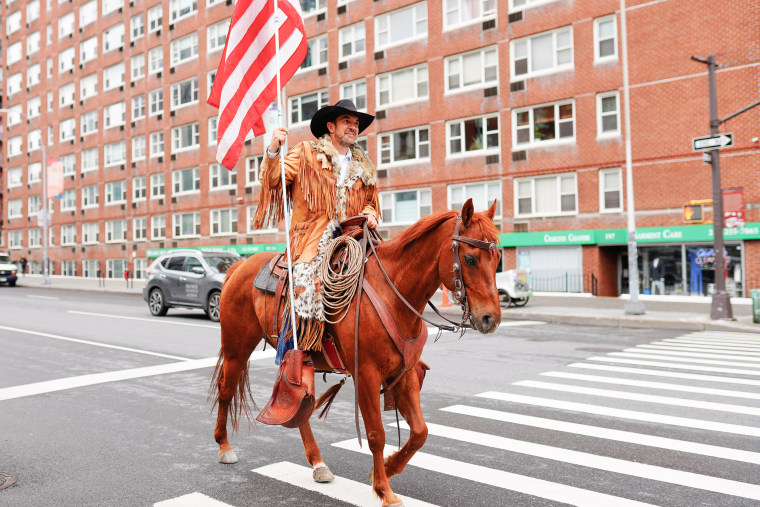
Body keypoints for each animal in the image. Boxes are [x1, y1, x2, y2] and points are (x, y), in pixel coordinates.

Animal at [211, 199, 502, 507]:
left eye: (497, 258)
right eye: (470, 259)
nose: (491, 319)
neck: (393, 292)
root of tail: (240, 264)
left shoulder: (405, 373)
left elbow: (420, 432)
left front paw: (387, 468)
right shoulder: (367, 375)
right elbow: (376, 434)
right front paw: (384, 490)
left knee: (300, 404)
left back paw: (318, 463)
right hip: (237, 347)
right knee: (226, 390)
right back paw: (224, 447)